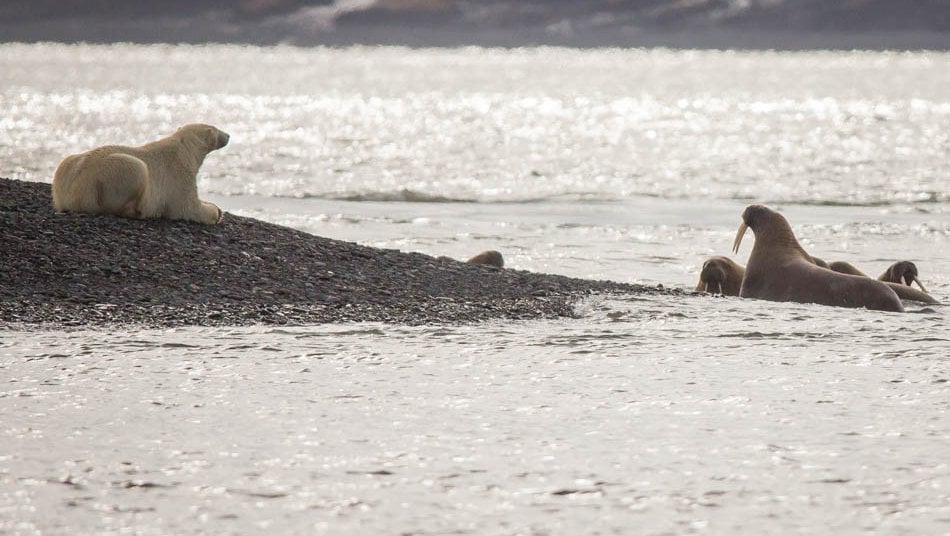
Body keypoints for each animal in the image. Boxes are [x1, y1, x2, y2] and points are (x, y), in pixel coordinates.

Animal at [51, 123, 230, 224]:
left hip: (66, 168)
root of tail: (73, 194)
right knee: (138, 169)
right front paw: (216, 211)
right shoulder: (179, 171)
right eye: (217, 130)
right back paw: (138, 212)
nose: (228, 135)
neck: (184, 147)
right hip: (111, 175)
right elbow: (187, 207)